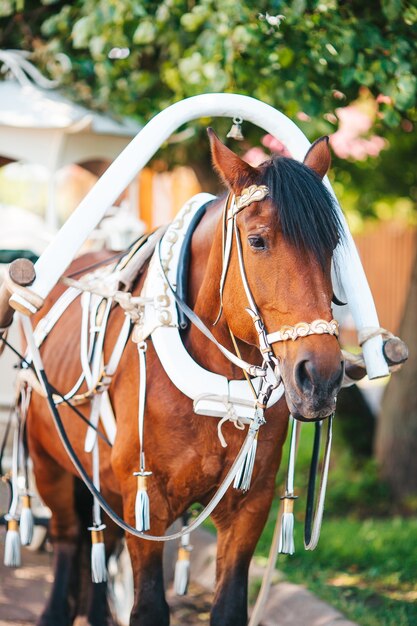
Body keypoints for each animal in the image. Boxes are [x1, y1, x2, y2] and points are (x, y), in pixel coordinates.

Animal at [26, 129, 344, 620]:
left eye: (331, 246)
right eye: (258, 241)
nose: (322, 377)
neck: (217, 392)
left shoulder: (249, 505)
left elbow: (229, 607)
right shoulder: (147, 503)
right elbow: (149, 608)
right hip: (49, 463)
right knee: (66, 538)